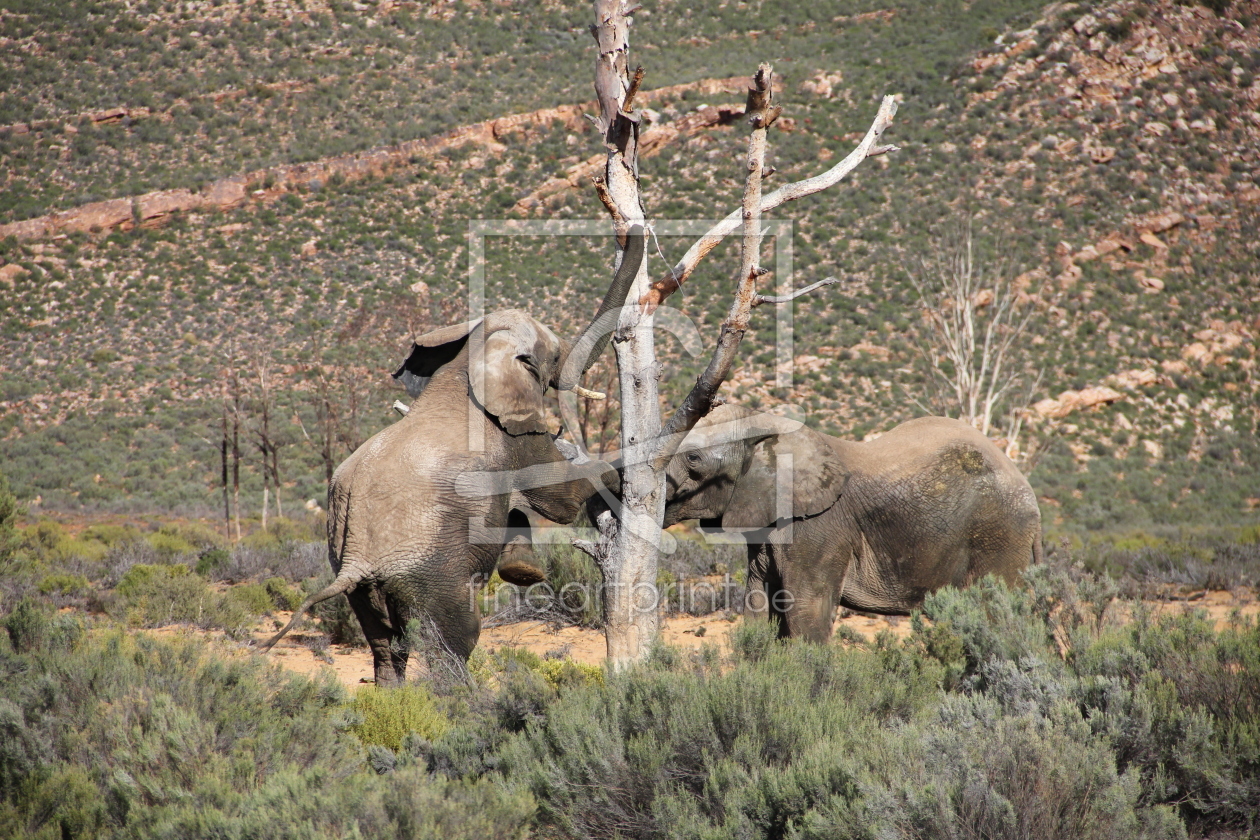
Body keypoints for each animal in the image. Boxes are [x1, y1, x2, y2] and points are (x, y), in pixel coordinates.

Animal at [260, 227, 645, 685]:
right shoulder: (513, 434)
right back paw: (464, 697)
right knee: (455, 638)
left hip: (358, 580)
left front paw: (523, 571)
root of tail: (356, 559)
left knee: (385, 644)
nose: (631, 231)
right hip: (430, 571)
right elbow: (560, 500)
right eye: (552, 357)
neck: (469, 358)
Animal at [660, 402, 1043, 639]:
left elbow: (805, 611)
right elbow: (758, 604)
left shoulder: (820, 527)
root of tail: (1031, 496)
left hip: (998, 533)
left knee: (992, 614)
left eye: (693, 459)